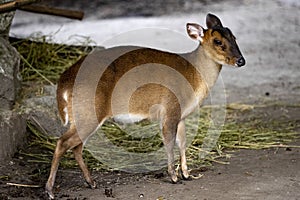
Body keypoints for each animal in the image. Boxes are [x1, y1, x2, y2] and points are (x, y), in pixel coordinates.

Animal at [45, 13, 245, 199]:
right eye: (217, 41)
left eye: (234, 37)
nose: (241, 61)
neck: (194, 76)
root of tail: (64, 82)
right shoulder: (170, 109)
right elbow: (169, 142)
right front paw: (173, 176)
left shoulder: (181, 116)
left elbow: (182, 142)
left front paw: (186, 174)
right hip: (88, 111)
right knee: (63, 142)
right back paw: (50, 191)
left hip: (81, 114)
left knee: (76, 146)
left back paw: (91, 182)